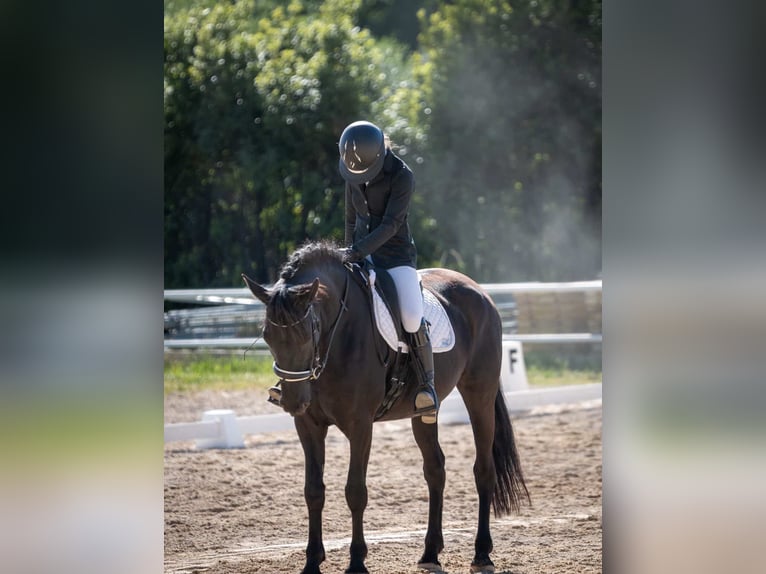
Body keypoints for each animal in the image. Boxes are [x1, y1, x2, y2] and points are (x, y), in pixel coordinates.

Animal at [242, 241, 528, 574]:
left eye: (309, 331)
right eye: (267, 335)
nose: (293, 400)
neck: (338, 334)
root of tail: (479, 291)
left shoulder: (360, 426)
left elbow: (355, 491)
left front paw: (356, 561)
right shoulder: (308, 426)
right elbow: (313, 491)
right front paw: (312, 561)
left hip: (479, 394)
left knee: (483, 469)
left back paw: (482, 553)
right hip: (424, 412)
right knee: (435, 469)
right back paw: (430, 552)